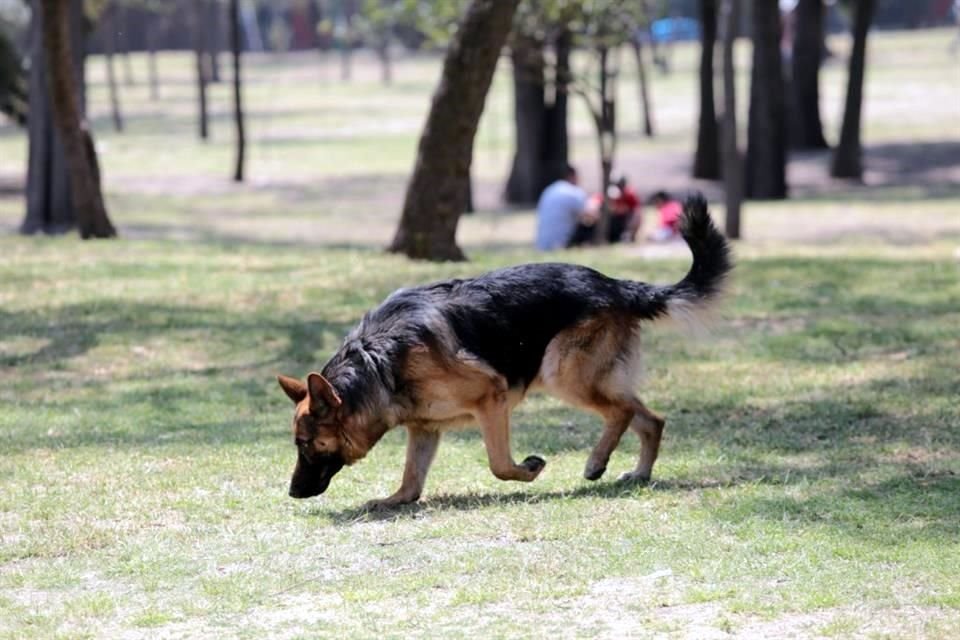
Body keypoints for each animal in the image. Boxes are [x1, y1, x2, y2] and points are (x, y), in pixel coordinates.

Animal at [278, 195, 728, 510]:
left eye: (306, 444)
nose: (293, 493)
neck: (379, 365)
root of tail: (614, 284)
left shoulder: (491, 397)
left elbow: (498, 465)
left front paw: (529, 470)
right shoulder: (424, 427)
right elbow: (411, 480)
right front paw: (393, 500)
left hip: (565, 376)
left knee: (621, 412)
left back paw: (596, 462)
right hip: (592, 377)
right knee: (650, 418)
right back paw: (638, 473)